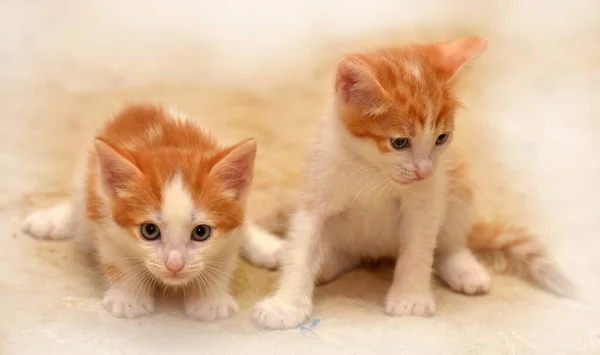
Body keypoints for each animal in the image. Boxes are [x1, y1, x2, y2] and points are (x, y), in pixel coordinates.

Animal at [21, 104, 284, 322]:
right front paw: (129, 299)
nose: (174, 265)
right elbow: (117, 261)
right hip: (84, 187)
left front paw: (210, 301)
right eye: (149, 231)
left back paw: (269, 248)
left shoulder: (231, 229)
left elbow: (223, 261)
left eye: (201, 232)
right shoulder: (105, 218)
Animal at [251, 36, 576, 330]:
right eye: (399, 142)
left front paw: (410, 298)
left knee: (450, 242)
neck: (374, 171)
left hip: (457, 181)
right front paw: (287, 304)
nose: (424, 170)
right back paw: (327, 263)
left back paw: (462, 267)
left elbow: (418, 249)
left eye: (441, 138)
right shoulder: (317, 189)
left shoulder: (426, 200)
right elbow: (303, 247)